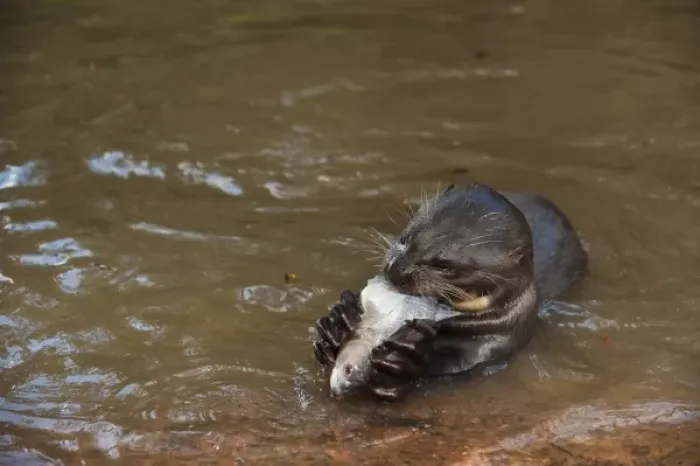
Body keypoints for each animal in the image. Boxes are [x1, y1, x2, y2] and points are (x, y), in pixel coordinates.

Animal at [313, 183, 588, 401]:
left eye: (443, 265)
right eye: (405, 238)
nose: (396, 269)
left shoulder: (506, 332)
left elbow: (453, 366)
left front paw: (402, 362)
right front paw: (338, 322)